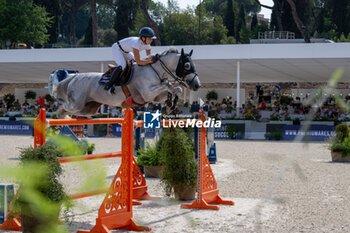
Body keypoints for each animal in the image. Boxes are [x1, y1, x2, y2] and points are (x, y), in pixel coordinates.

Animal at [50, 48, 201, 119]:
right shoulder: (147, 93)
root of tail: (73, 77)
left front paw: (169, 106)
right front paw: (170, 103)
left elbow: (175, 90)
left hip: (87, 109)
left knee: (67, 111)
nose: (197, 85)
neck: (155, 70)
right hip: (77, 104)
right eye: (187, 65)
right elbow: (169, 86)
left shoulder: (154, 96)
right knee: (62, 107)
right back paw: (55, 115)